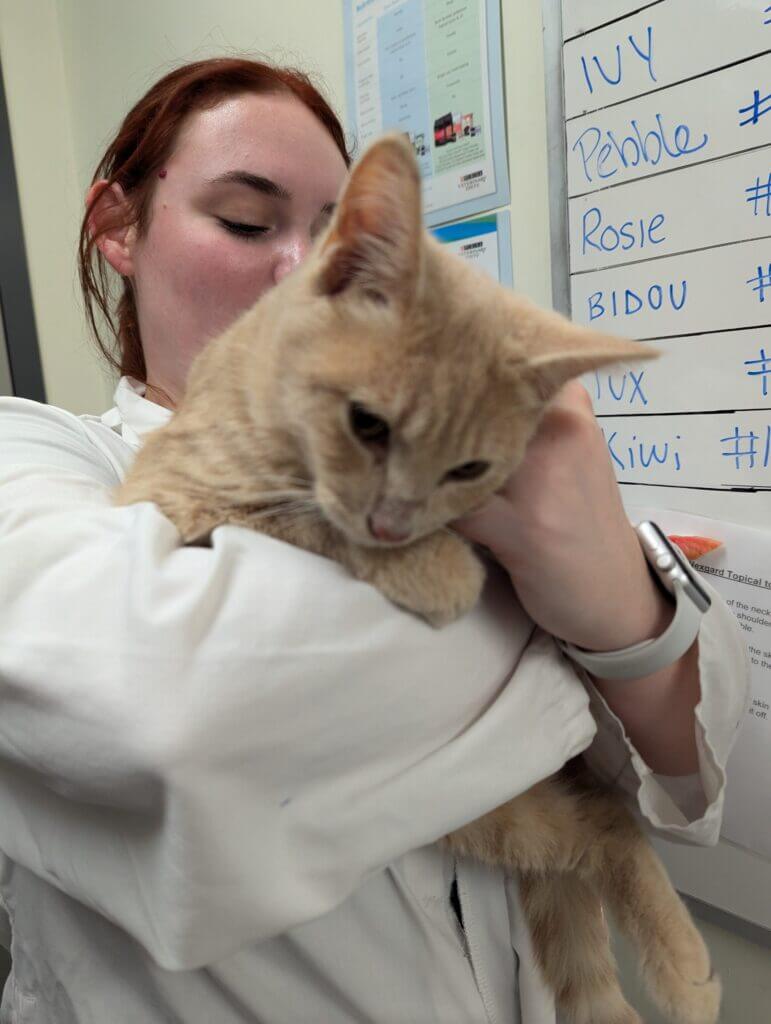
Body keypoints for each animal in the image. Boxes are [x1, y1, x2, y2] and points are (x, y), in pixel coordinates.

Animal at [115, 136, 720, 1024]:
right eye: (366, 425)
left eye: (469, 468)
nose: (395, 527)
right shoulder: (174, 493)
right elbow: (298, 516)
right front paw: (435, 568)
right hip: (481, 813)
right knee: (592, 830)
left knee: (609, 818)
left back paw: (680, 967)